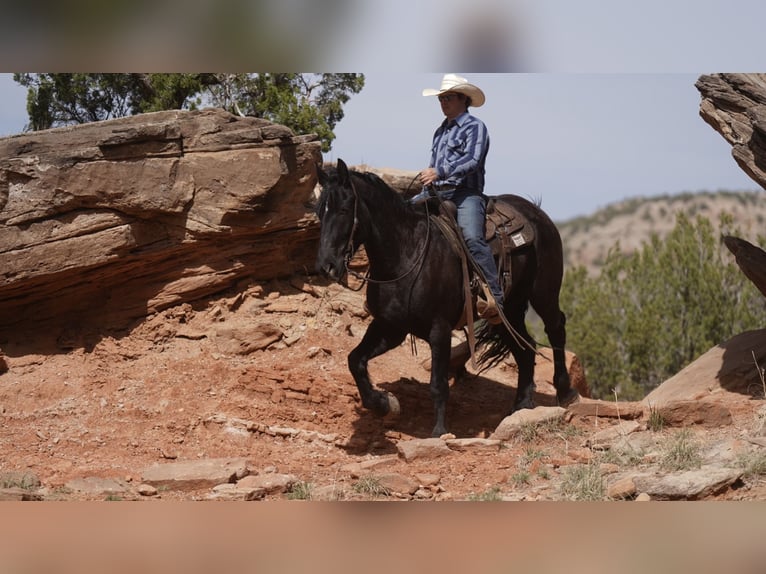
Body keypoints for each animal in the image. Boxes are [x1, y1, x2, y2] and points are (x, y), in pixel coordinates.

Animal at [316, 160, 576, 438]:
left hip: (544, 293)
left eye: (344, 210)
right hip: (507, 310)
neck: (406, 253)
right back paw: (522, 405)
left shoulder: (439, 329)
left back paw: (565, 393)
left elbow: (438, 384)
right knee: (525, 347)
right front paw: (384, 404)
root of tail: (536, 212)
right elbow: (355, 360)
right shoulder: (390, 327)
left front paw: (439, 431)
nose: (326, 266)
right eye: (320, 212)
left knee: (556, 329)